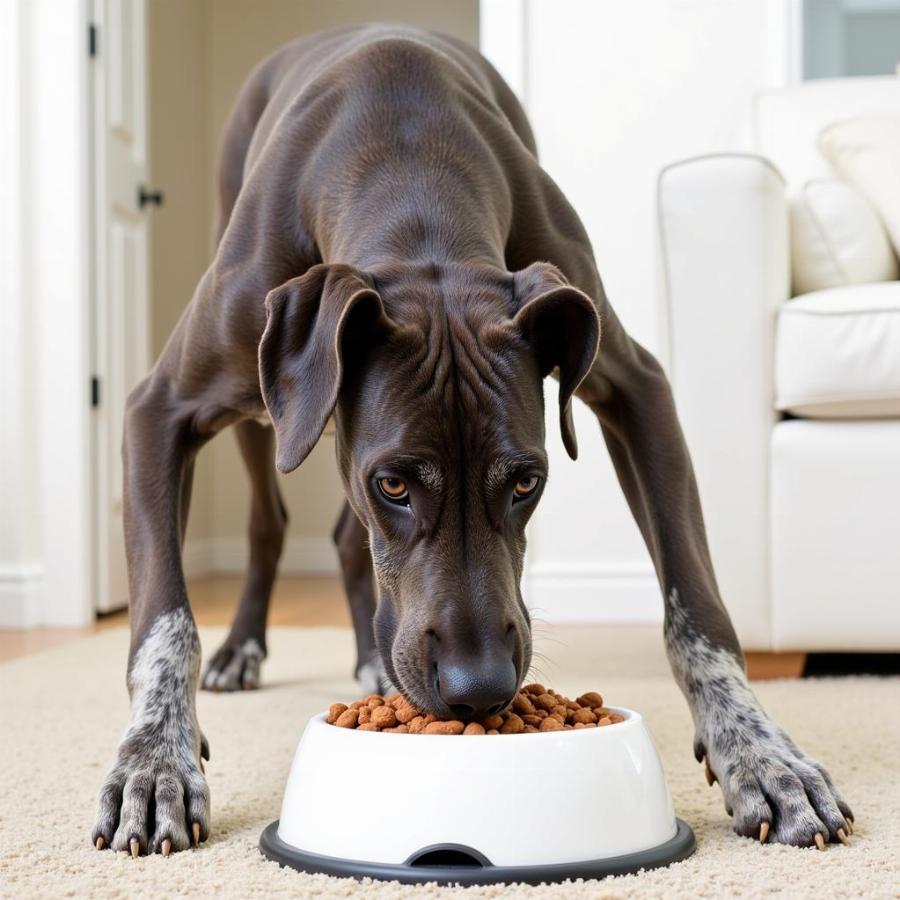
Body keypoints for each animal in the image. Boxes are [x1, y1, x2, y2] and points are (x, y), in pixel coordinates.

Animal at [91, 24, 852, 856]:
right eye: (393, 484)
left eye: (527, 481)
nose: (478, 689)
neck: (411, 187)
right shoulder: (159, 412)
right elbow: (164, 622)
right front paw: (152, 762)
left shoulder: (639, 391)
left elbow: (697, 611)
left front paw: (760, 753)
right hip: (265, 406)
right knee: (269, 518)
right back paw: (245, 650)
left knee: (344, 539)